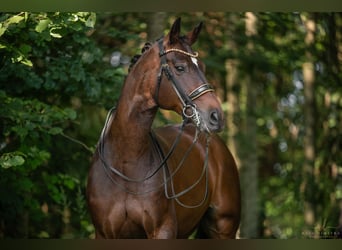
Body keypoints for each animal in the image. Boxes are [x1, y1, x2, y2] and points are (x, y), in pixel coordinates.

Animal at [86, 18, 240, 238]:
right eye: (180, 67)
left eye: (201, 66)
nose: (216, 116)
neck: (125, 161)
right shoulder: (104, 233)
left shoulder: (163, 230)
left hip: (223, 228)